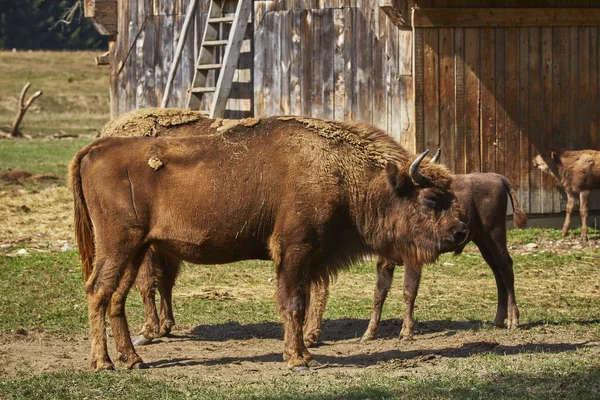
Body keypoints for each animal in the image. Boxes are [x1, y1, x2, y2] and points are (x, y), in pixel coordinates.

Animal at [71, 113, 468, 372]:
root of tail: (96, 148)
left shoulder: (308, 259)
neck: (343, 173)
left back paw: (133, 360)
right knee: (97, 291)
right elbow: (293, 304)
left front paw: (305, 354)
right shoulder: (293, 251)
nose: (461, 233)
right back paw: (103, 363)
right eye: (432, 198)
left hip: (136, 250)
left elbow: (302, 303)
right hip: (119, 245)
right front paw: (297, 360)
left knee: (116, 298)